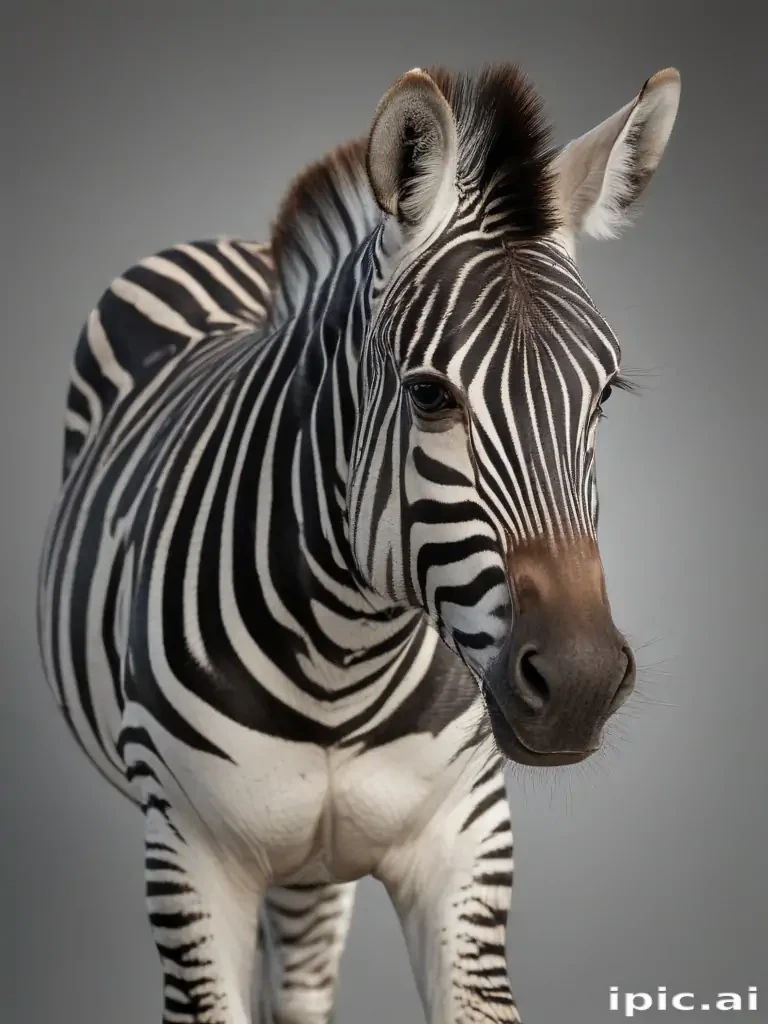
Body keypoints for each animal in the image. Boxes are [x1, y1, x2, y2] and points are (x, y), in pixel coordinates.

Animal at [37, 62, 680, 1024]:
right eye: (428, 395)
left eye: (601, 396)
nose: (580, 684)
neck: (344, 657)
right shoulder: (188, 856)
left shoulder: (465, 843)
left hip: (314, 861)